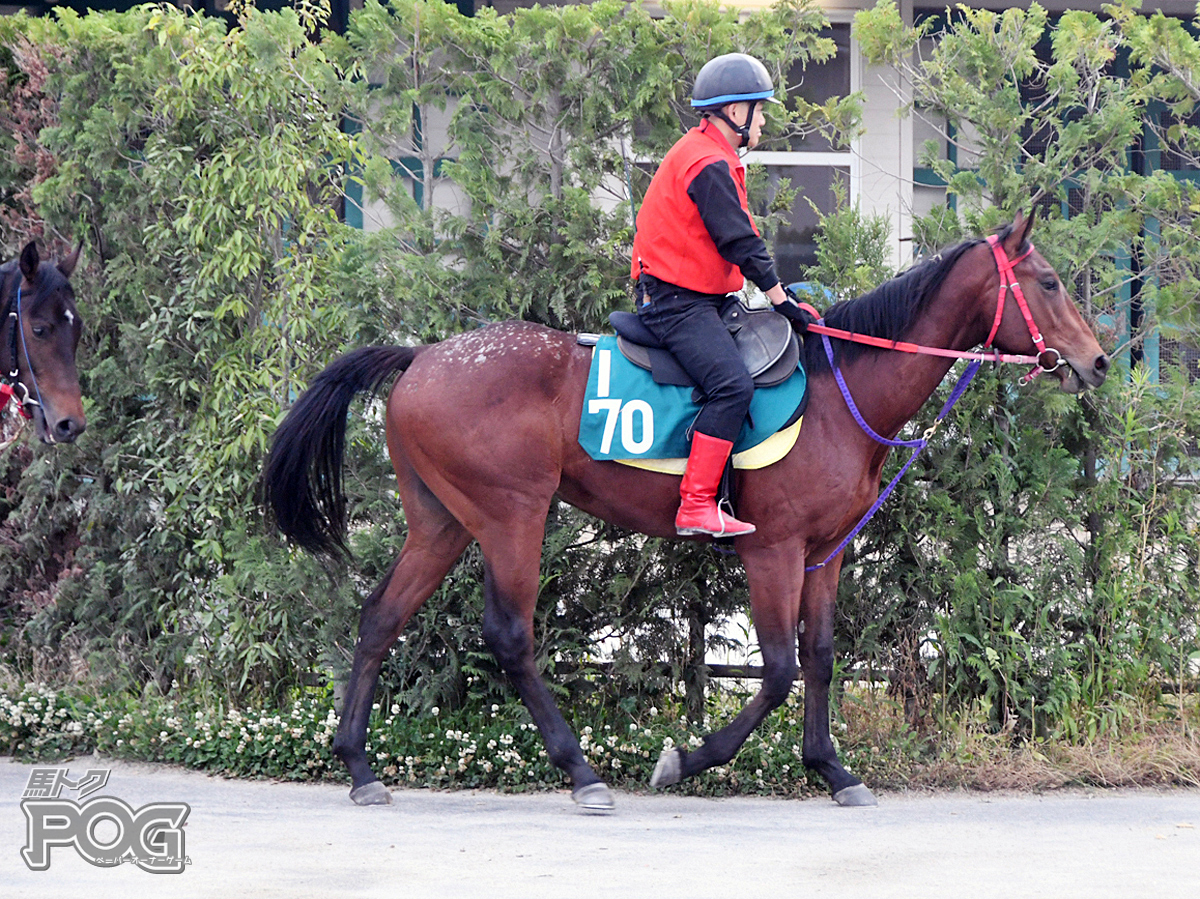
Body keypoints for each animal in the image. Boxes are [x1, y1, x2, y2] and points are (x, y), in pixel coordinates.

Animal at [262, 213, 1104, 811]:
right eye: (1050, 281)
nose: (1095, 361)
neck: (839, 389)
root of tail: (420, 358)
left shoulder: (823, 553)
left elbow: (821, 657)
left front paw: (831, 767)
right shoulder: (773, 550)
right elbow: (777, 669)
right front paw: (690, 757)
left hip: (441, 521)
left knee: (380, 615)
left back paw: (359, 763)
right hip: (511, 515)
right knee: (510, 636)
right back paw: (580, 770)